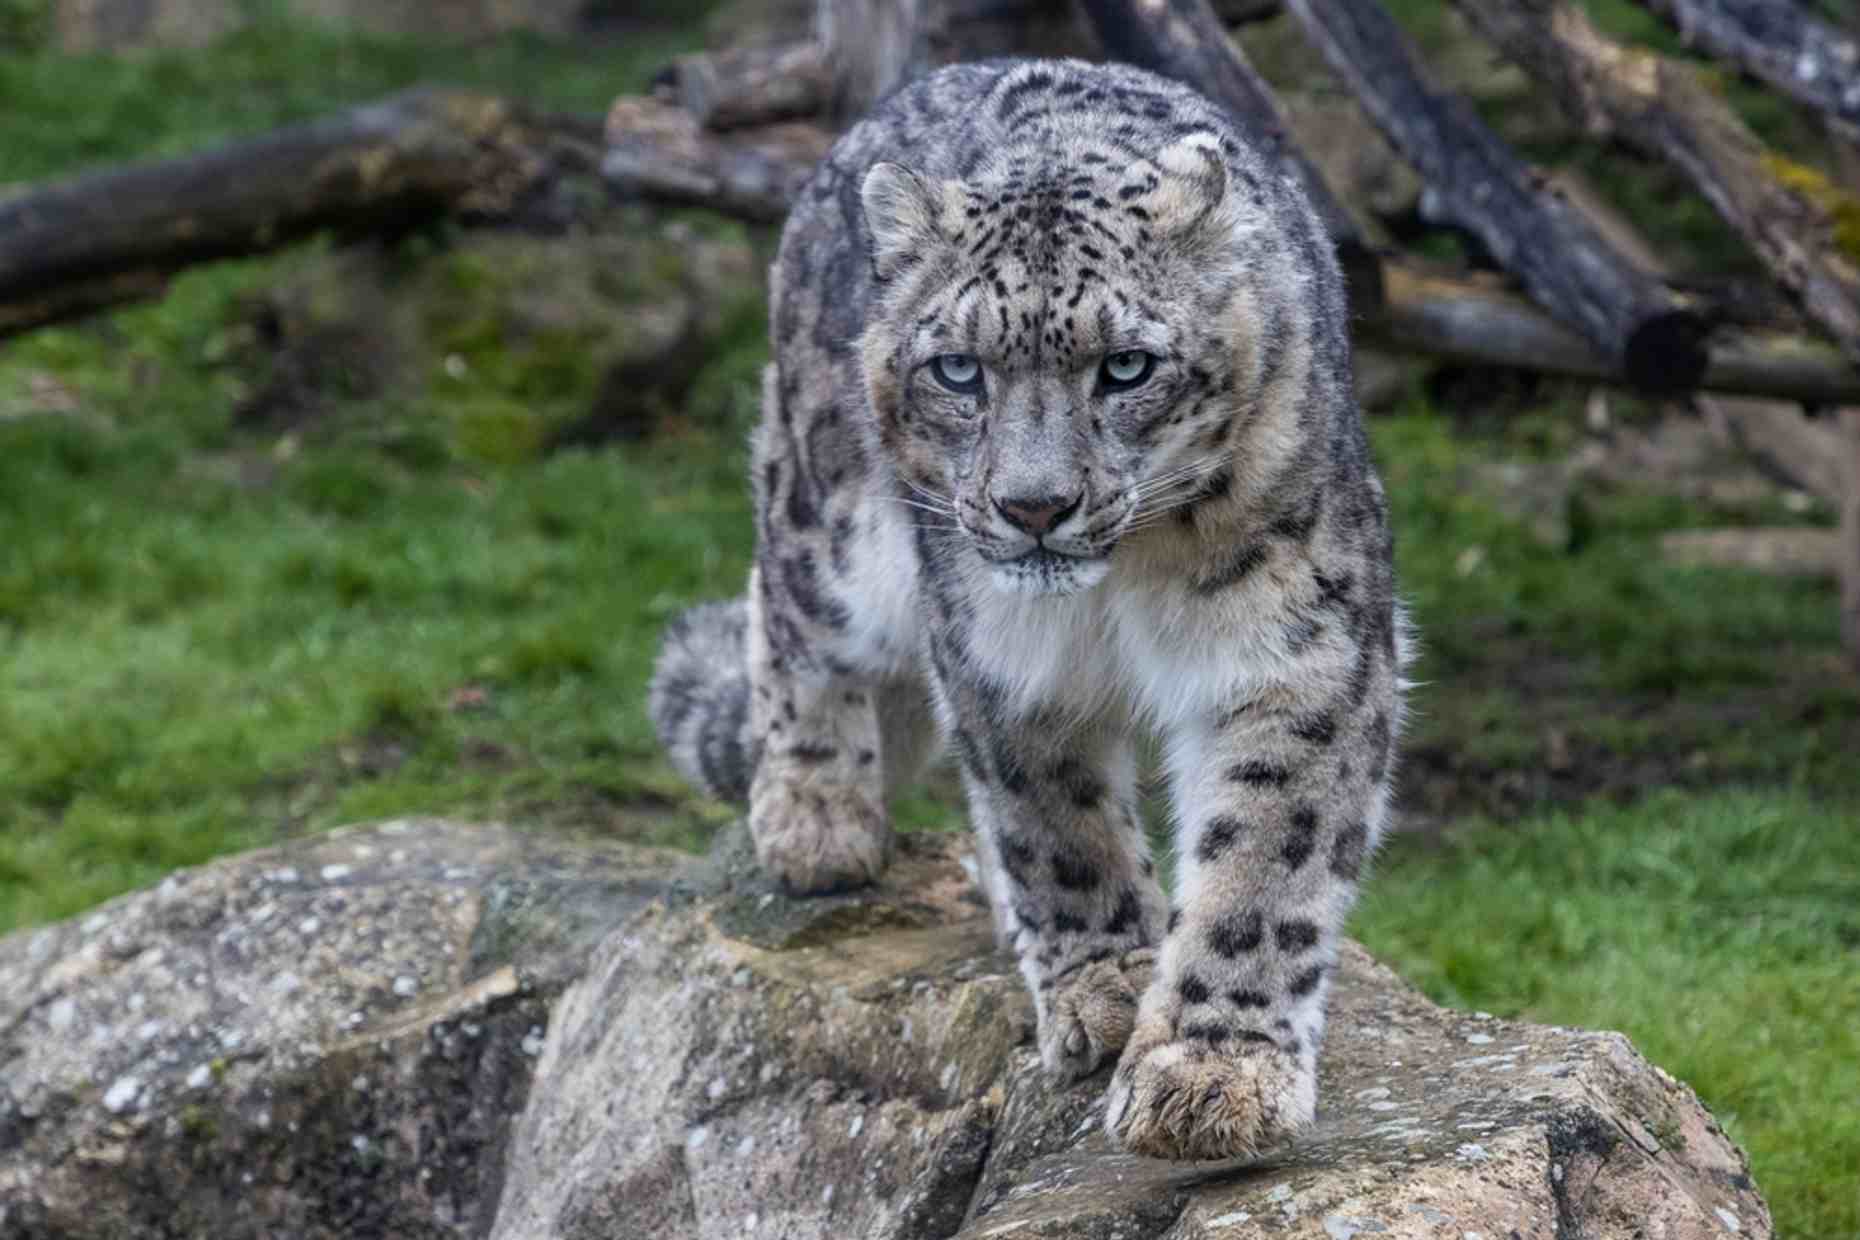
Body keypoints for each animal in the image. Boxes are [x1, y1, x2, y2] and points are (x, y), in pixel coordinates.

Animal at [650, 57, 1407, 1162]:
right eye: (959, 369)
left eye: (1126, 366)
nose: (1034, 505)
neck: (1120, 587)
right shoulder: (999, 658)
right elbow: (1055, 825)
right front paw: (1109, 988)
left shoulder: (1297, 655)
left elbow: (1264, 865)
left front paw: (1211, 1071)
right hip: (833, 526)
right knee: (783, 605)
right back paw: (815, 815)